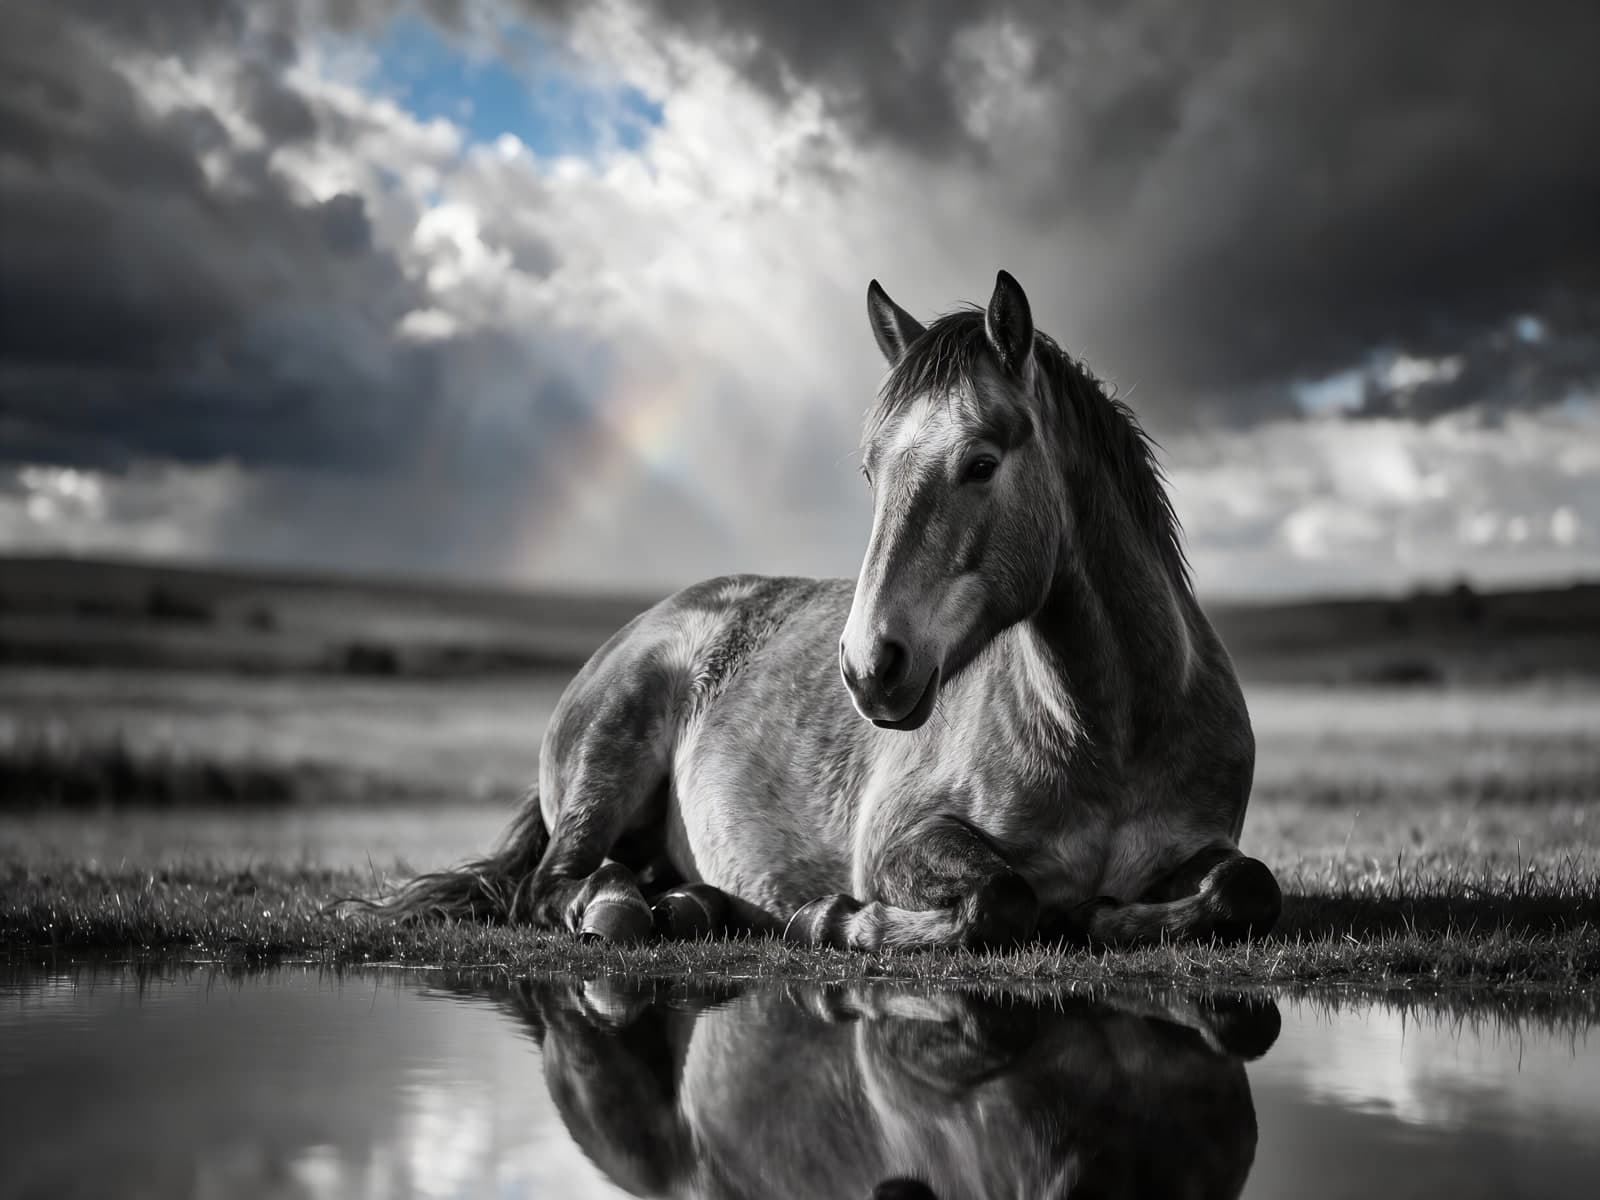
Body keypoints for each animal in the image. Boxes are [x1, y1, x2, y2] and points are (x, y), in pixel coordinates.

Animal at [383, 270, 1281, 950]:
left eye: (981, 462)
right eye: (870, 471)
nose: (869, 666)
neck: (1108, 733)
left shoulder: (1205, 845)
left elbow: (1249, 886)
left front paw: (1110, 918)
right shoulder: (899, 842)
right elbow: (1001, 900)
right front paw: (833, 919)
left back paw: (691, 906)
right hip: (608, 758)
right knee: (555, 884)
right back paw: (622, 911)